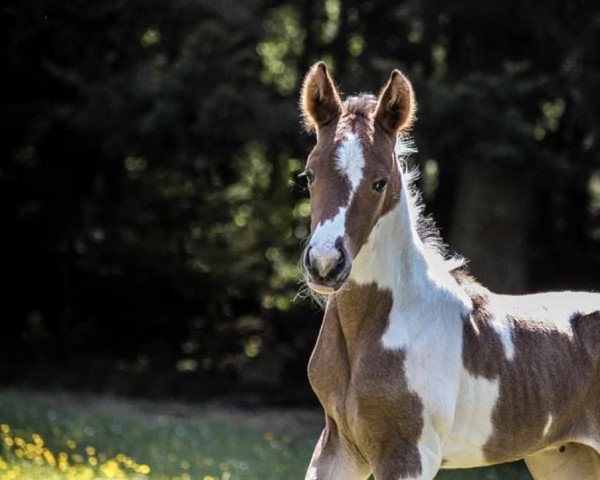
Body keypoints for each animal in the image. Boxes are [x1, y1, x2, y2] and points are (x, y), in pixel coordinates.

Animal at [300, 60, 600, 480]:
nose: (325, 264)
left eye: (379, 182)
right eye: (309, 175)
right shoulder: (338, 447)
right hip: (566, 457)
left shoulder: (410, 453)